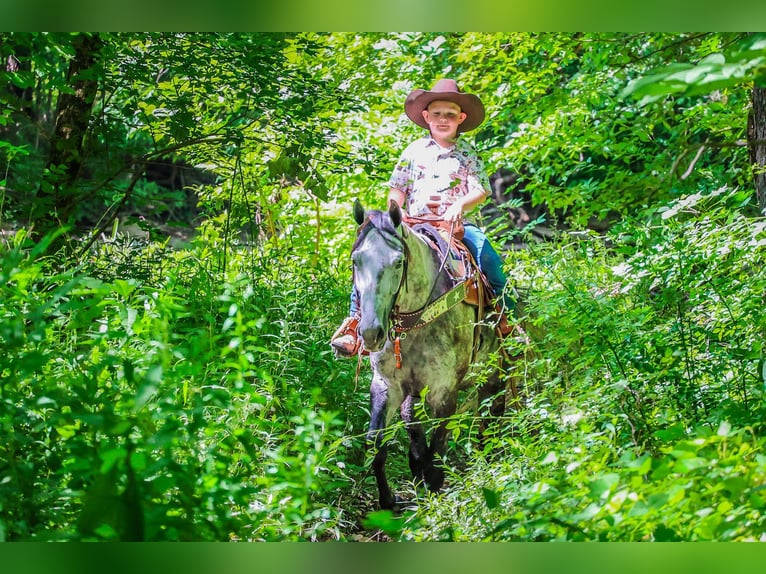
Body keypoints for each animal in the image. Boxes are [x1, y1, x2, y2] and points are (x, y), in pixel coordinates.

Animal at [354, 200, 516, 510]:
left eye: (398, 262)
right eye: (356, 261)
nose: (370, 333)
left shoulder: (444, 390)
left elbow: (439, 441)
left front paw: (433, 484)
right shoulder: (386, 384)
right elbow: (375, 442)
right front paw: (388, 499)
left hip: (494, 373)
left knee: (491, 413)